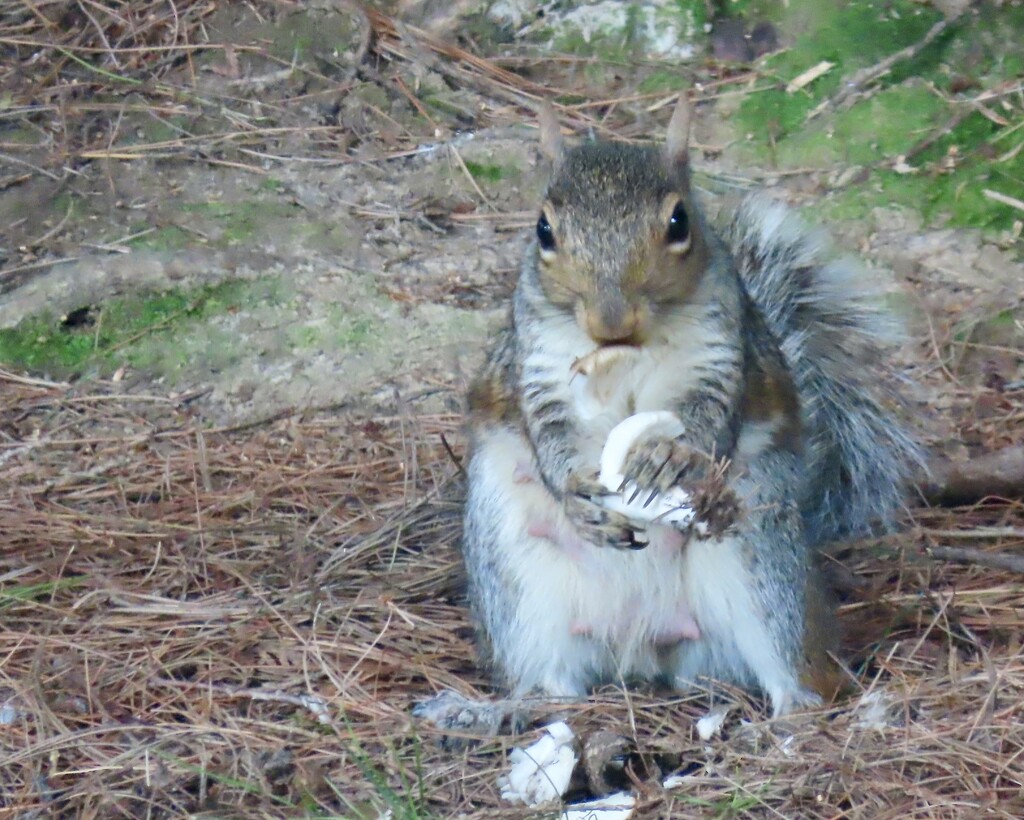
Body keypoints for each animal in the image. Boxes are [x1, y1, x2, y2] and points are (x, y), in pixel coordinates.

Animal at [456, 96, 921, 712]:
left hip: (761, 559)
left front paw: (668, 458)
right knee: (544, 675)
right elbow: (550, 432)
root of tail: (642, 641)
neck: (627, 351)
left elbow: (706, 420)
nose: (610, 320)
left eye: (679, 222)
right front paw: (578, 491)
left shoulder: (719, 358)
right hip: (514, 577)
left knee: (799, 667)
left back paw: (793, 714)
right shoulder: (537, 366)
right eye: (543, 230)